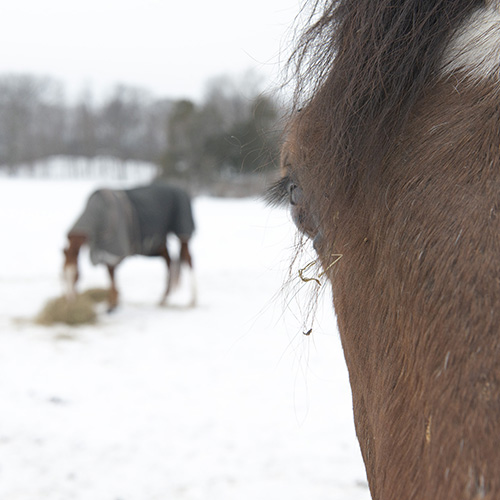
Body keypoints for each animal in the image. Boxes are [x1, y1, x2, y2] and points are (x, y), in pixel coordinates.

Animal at [63, 182, 195, 310]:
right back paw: (164, 299)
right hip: (160, 241)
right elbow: (110, 275)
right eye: (63, 275)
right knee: (169, 262)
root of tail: (182, 190)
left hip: (182, 232)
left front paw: (113, 304)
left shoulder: (114, 250)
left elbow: (111, 274)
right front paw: (112, 300)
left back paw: (192, 300)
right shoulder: (104, 251)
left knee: (187, 259)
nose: (70, 301)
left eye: (76, 276)